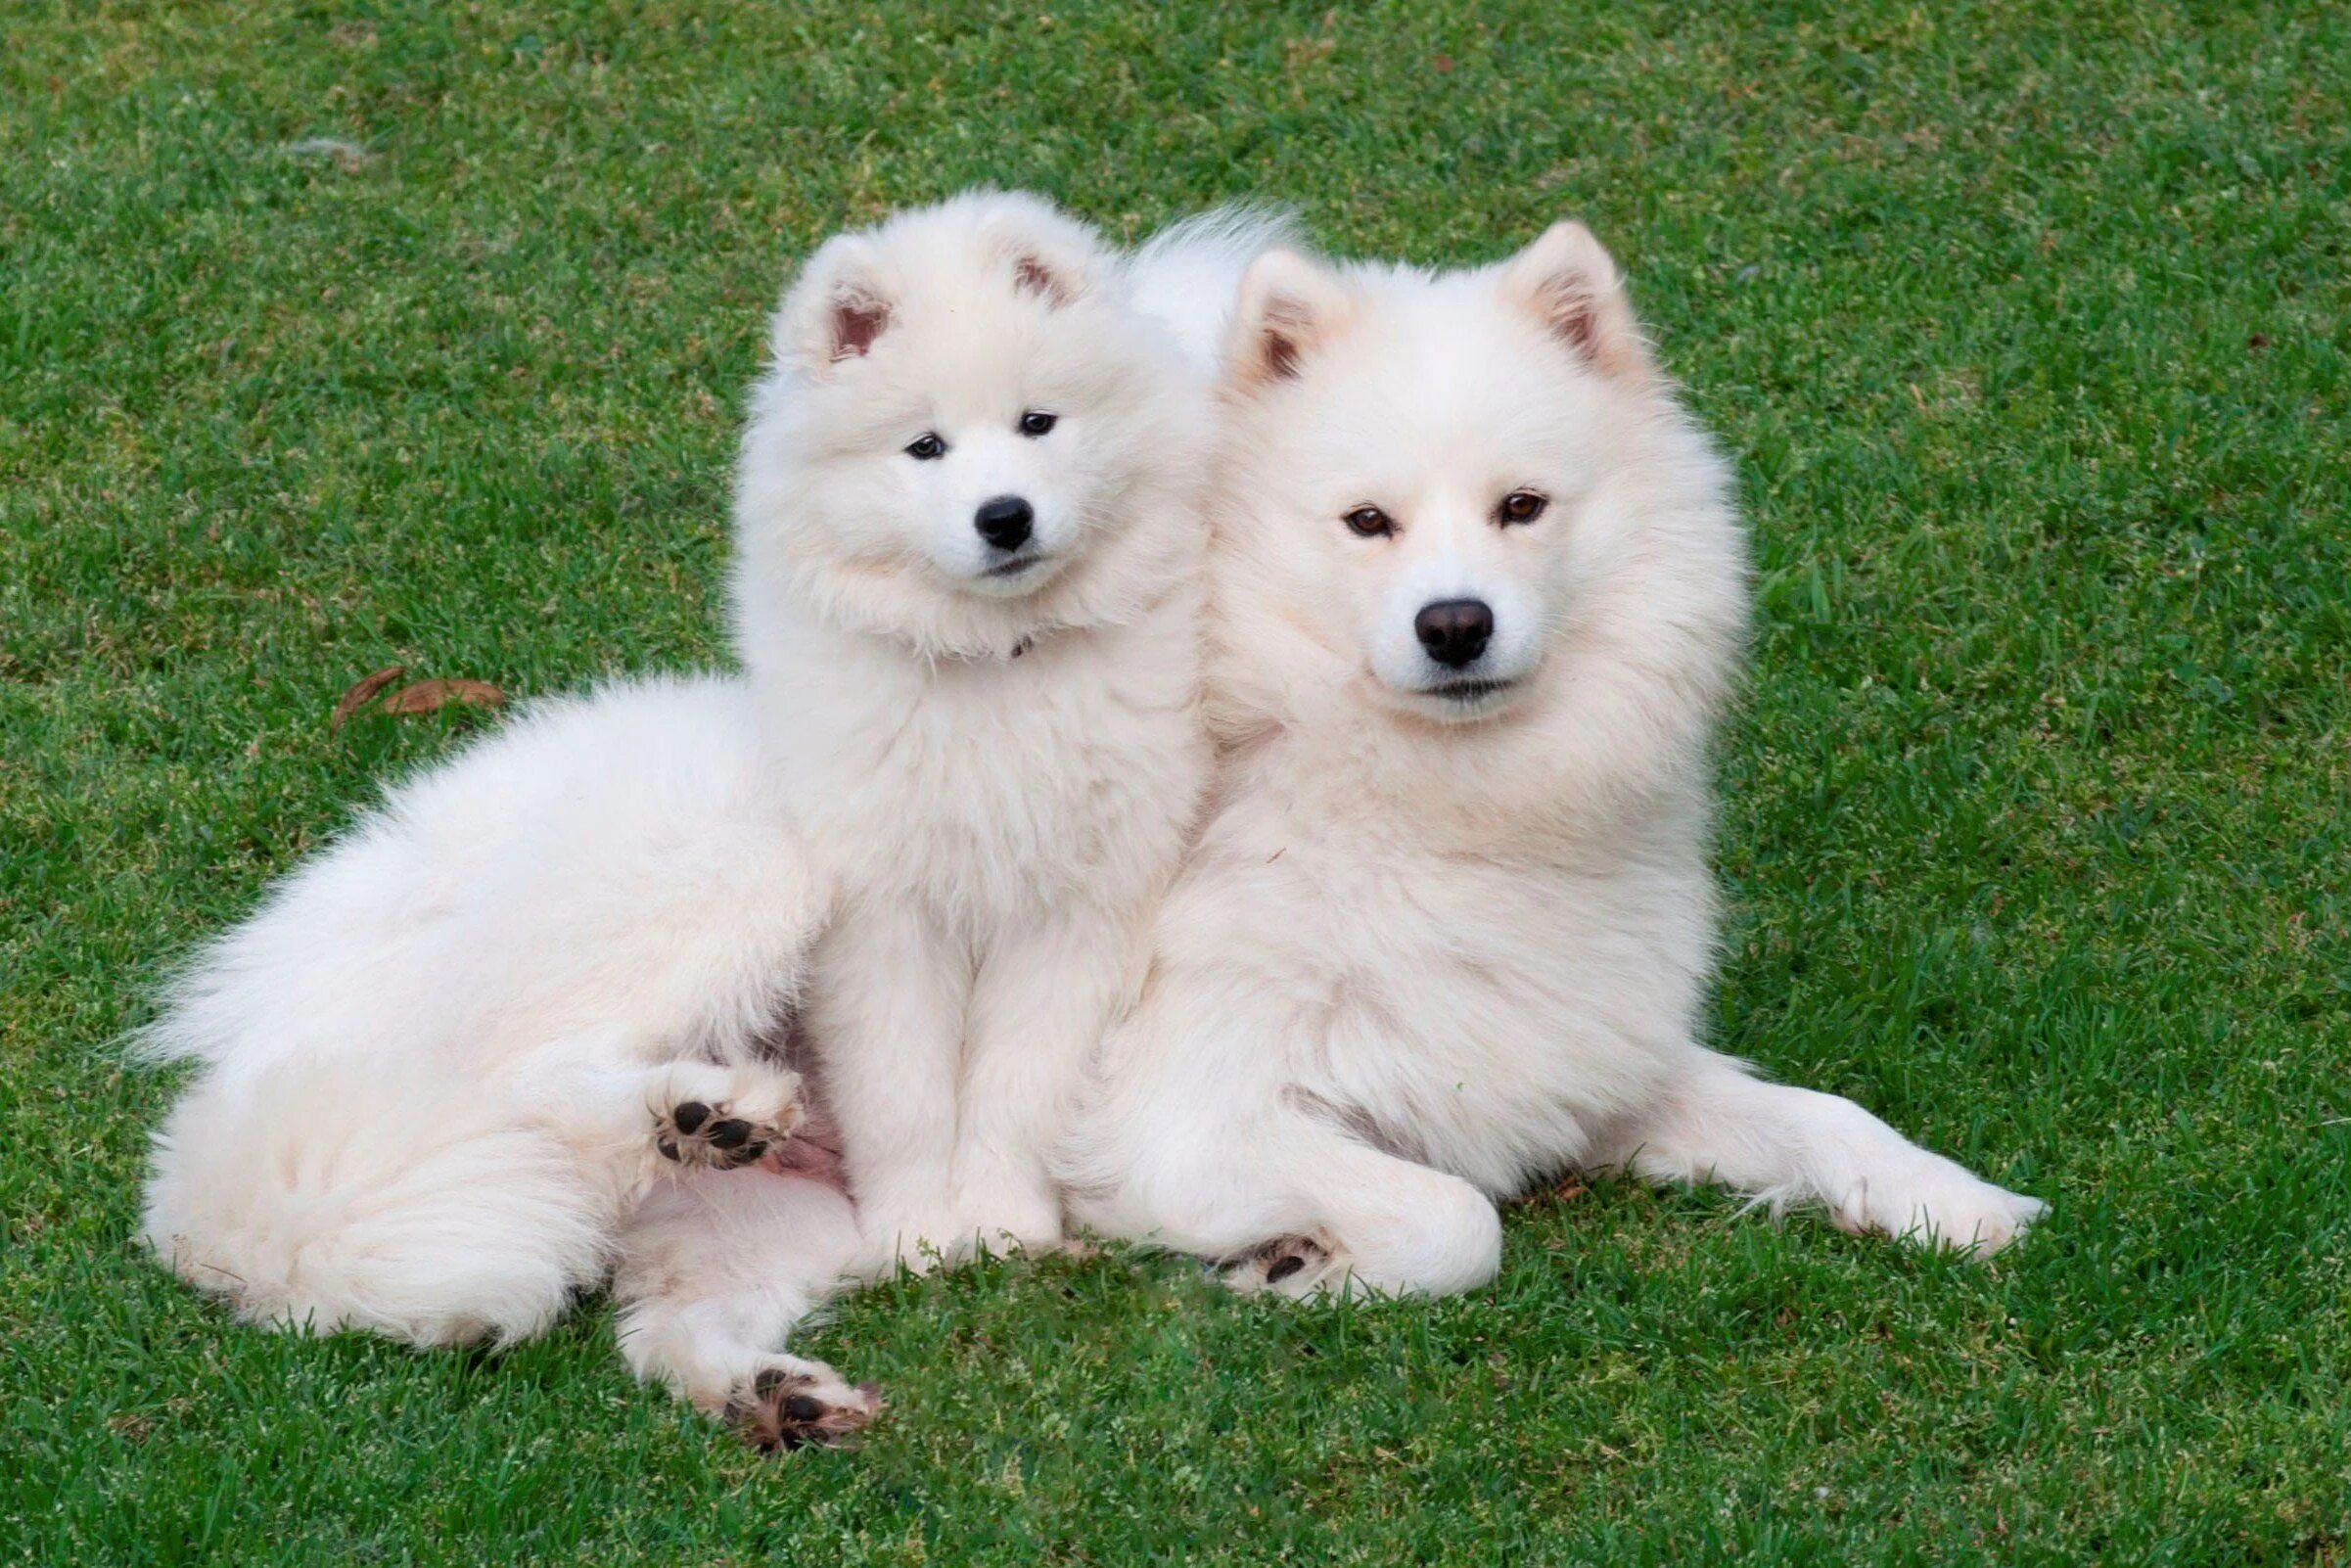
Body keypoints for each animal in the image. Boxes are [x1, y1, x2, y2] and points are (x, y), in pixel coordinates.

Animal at [137, 196, 1260, 1448]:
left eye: (1037, 422)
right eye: (923, 448)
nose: (1003, 517)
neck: (992, 671)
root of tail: (271, 1026)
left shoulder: (1082, 908)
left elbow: (1015, 1081)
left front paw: (992, 1227)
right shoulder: (878, 917)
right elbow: (910, 1088)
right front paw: (926, 1230)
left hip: (752, 1216)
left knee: (659, 1323)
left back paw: (766, 1370)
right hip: (733, 873)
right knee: (525, 1066)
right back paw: (700, 1107)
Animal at [1062, 220, 2040, 1297]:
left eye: (1521, 506)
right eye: (1367, 522)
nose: (1454, 624)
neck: (1442, 822)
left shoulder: (1583, 1062)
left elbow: (1822, 1113)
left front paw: (1947, 1197)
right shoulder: (1179, 1125)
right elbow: (1457, 1217)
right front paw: (1302, 1266)